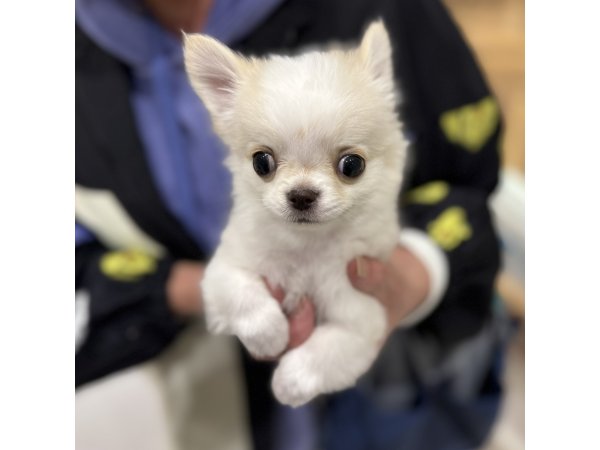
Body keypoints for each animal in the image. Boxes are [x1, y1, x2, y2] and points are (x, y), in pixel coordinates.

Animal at [183, 21, 407, 407]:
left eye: (352, 166)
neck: (307, 246)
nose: (301, 195)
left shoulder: (362, 320)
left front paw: (290, 383)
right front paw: (269, 335)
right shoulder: (222, 272)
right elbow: (244, 297)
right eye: (262, 163)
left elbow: (325, 354)